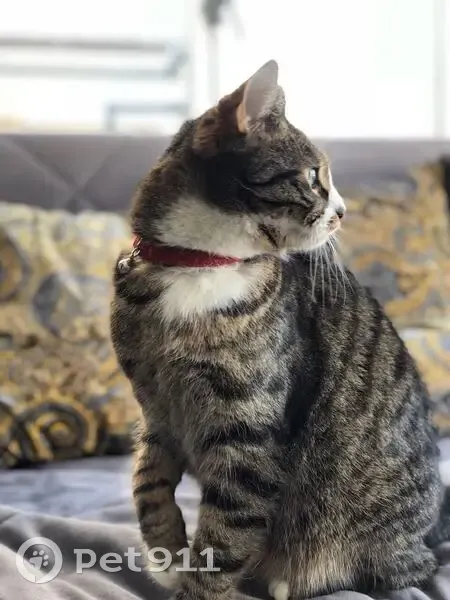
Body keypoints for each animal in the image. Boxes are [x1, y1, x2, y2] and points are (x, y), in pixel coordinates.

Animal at [110, 60, 443, 600]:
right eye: (312, 176)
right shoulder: (155, 407)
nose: (343, 212)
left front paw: (195, 582)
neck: (198, 268)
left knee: (405, 573)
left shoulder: (248, 432)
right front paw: (165, 552)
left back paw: (290, 579)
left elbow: (224, 536)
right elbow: (146, 478)